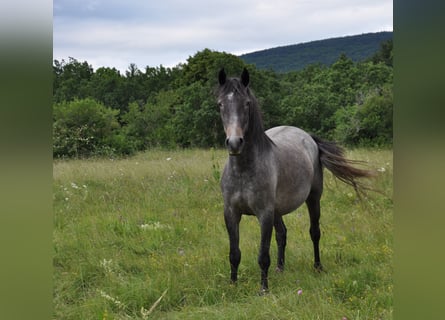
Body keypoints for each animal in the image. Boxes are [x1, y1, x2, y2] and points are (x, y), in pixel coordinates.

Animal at [217, 67, 372, 292]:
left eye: (246, 103)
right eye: (220, 104)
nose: (235, 143)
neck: (243, 171)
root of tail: (308, 137)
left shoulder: (264, 214)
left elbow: (263, 255)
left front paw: (263, 289)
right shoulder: (231, 213)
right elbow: (234, 253)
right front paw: (232, 285)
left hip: (313, 198)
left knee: (314, 232)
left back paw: (317, 267)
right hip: (277, 210)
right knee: (282, 234)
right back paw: (280, 269)